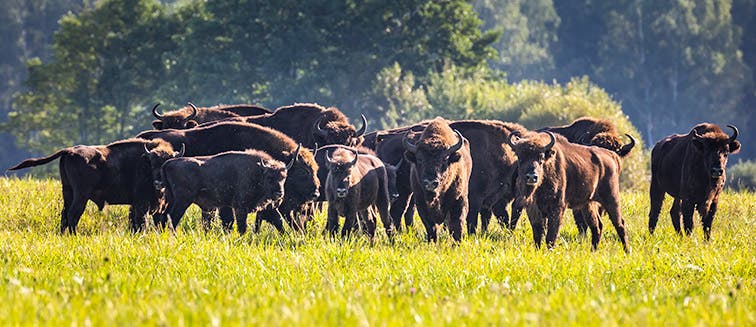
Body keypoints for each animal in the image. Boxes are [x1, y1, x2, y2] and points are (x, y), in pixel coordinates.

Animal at [7, 138, 182, 233]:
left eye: (165, 163)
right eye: (152, 163)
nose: (159, 183)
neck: (143, 161)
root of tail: (69, 151)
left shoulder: (156, 205)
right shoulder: (142, 203)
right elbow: (142, 222)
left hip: (68, 192)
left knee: (64, 215)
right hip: (81, 195)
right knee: (73, 214)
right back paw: (74, 236)